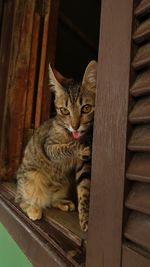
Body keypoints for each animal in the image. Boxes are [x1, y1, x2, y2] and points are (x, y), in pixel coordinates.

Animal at [15, 60, 97, 232]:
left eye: (86, 108)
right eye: (64, 111)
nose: (75, 127)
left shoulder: (84, 166)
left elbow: (84, 189)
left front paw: (85, 217)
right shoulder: (49, 146)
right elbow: (64, 148)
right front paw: (78, 145)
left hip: (64, 184)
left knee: (51, 201)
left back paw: (63, 203)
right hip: (31, 179)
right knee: (20, 200)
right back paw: (33, 209)